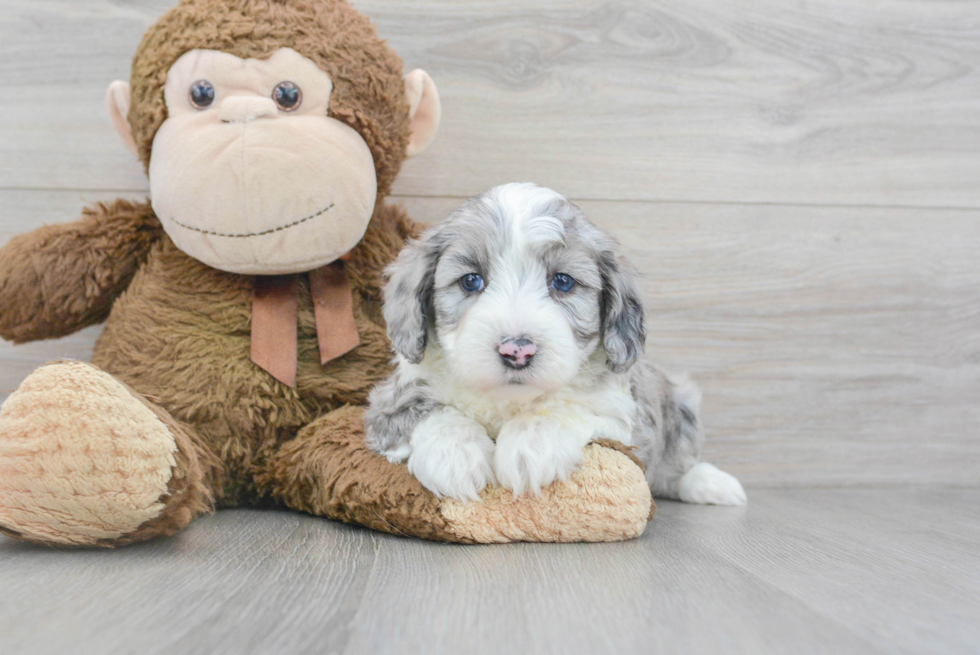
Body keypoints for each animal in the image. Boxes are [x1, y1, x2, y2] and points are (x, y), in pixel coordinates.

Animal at [364, 184, 748, 508]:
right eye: (471, 281)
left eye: (563, 282)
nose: (517, 350)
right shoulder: (391, 397)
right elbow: (424, 409)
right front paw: (455, 455)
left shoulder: (626, 413)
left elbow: (570, 406)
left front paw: (529, 445)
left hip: (682, 404)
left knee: (678, 466)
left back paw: (712, 484)